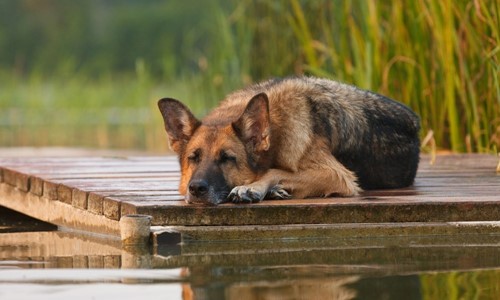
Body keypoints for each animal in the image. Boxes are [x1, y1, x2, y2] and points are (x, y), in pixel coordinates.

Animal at [158, 76, 420, 205]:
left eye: (227, 159)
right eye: (194, 157)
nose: (196, 188)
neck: (275, 128)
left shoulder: (338, 176)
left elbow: (273, 171)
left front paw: (251, 187)